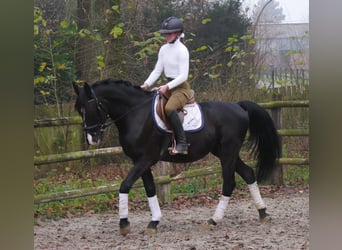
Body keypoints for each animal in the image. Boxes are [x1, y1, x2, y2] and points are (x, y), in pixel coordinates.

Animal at [72, 78, 280, 236]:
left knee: (229, 183)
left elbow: (125, 185)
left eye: (92, 107)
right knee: (248, 173)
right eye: (79, 110)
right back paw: (262, 212)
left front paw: (124, 224)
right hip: (224, 152)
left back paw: (213, 220)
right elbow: (150, 189)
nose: (92, 138)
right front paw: (154, 222)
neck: (135, 113)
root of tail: (238, 106)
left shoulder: (145, 160)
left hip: (228, 152)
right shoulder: (140, 161)